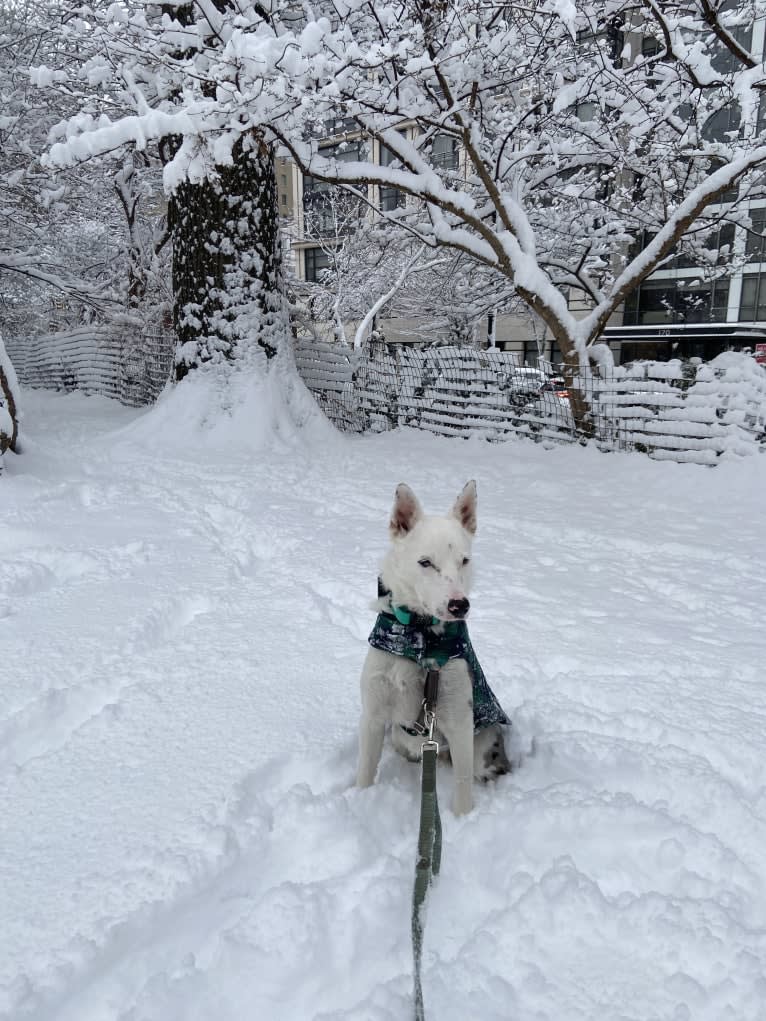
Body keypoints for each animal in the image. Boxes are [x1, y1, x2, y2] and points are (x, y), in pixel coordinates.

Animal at [359, 481, 512, 816]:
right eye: (425, 562)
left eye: (464, 561)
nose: (459, 605)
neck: (419, 638)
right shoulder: (373, 715)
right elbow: (364, 773)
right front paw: (356, 800)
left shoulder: (459, 723)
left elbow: (463, 792)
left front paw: (463, 821)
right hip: (401, 738)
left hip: (482, 745)